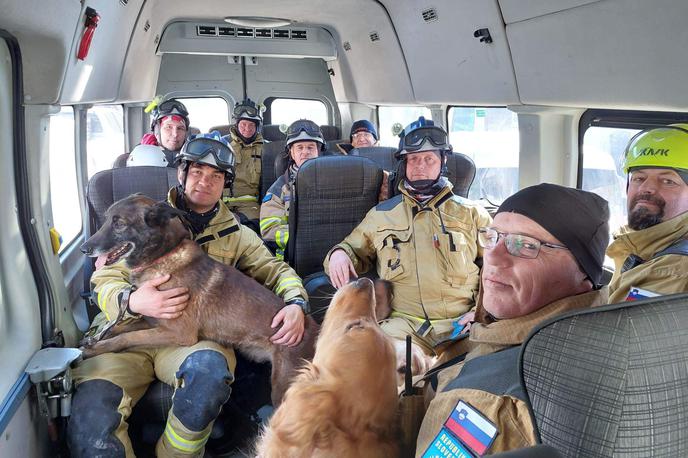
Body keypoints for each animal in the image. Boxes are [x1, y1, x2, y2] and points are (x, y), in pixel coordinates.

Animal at [80, 193, 320, 404]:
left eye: (119, 223)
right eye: (105, 220)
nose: (84, 249)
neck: (162, 256)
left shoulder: (179, 333)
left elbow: (127, 338)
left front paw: (96, 348)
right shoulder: (153, 321)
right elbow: (123, 328)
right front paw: (95, 339)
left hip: (284, 388)